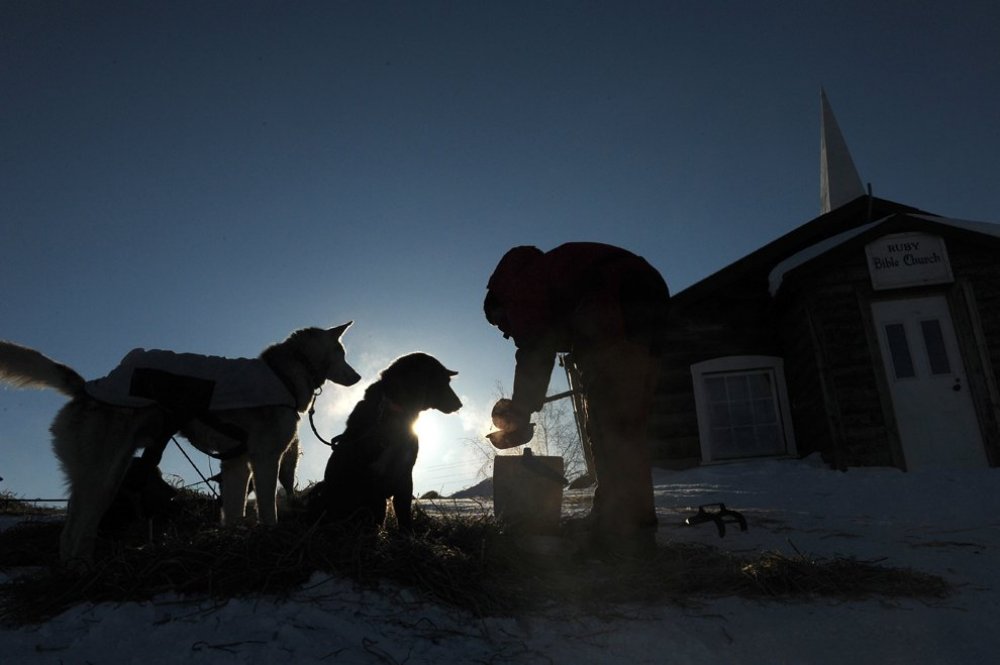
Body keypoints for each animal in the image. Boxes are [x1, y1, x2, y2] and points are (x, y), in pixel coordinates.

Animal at [0, 324, 360, 564]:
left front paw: (234, 540)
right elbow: (267, 507)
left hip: (105, 476)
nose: (357, 377)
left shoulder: (236, 464)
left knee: (72, 533)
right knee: (74, 533)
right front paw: (270, 538)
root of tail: (87, 386)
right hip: (103, 477)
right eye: (342, 353)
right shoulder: (265, 458)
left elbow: (234, 511)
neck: (284, 373)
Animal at [314, 352, 462, 528]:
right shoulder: (372, 480)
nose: (459, 404)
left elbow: (404, 514)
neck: (392, 410)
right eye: (442, 381)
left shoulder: (405, 474)